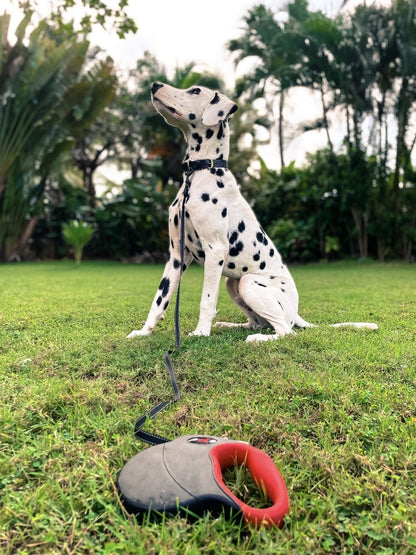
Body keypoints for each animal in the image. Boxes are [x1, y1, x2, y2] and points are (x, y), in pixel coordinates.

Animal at [128, 82, 378, 344]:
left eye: (195, 90)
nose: (155, 85)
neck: (200, 172)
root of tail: (296, 313)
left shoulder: (215, 251)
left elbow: (207, 299)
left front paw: (201, 332)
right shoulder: (176, 256)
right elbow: (160, 299)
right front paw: (143, 332)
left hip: (248, 282)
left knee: (285, 331)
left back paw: (257, 338)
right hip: (233, 283)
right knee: (259, 322)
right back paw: (231, 325)